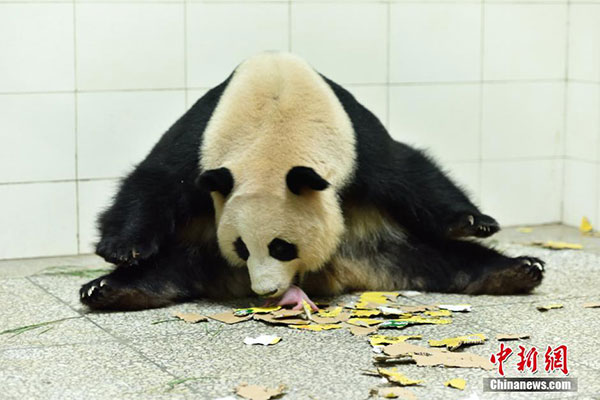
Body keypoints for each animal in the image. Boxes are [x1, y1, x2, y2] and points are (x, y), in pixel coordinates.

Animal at [79, 51, 544, 310]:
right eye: (241, 247)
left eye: (282, 247)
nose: (265, 288)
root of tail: (344, 273)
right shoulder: (201, 140)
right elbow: (155, 180)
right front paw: (122, 249)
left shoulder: (359, 143)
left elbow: (411, 173)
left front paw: (475, 221)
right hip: (206, 246)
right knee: (173, 267)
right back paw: (107, 290)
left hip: (379, 241)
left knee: (440, 257)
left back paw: (519, 270)